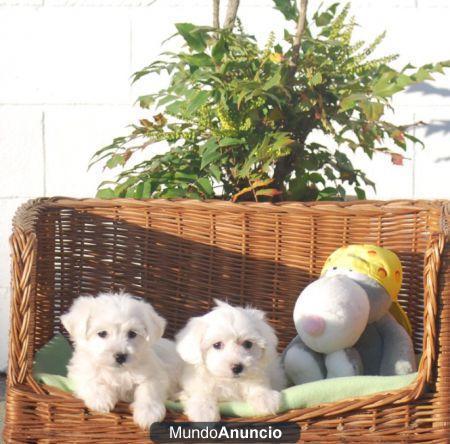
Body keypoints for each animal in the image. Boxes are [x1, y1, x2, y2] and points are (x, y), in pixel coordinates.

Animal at [60, 294, 182, 428]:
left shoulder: (155, 374)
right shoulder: (81, 370)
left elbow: (149, 389)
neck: (117, 372)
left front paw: (148, 413)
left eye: (132, 333)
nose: (120, 356)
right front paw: (101, 399)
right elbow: (90, 380)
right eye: (102, 333)